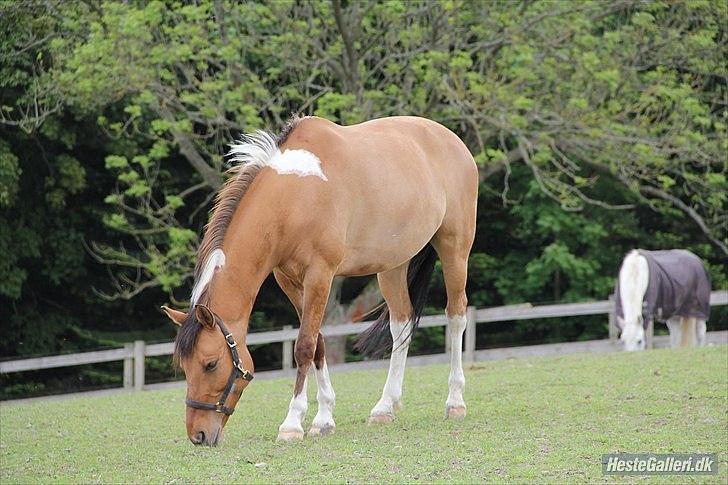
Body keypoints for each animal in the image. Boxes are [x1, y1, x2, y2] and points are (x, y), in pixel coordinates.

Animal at [162, 114, 478, 442]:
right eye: (184, 366)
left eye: (210, 364)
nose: (198, 434)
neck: (293, 197)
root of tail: (451, 139)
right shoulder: (290, 282)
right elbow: (319, 343)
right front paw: (323, 418)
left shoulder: (320, 276)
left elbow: (304, 346)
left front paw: (292, 423)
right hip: (392, 265)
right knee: (401, 323)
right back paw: (384, 407)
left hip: (454, 248)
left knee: (456, 316)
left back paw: (455, 402)